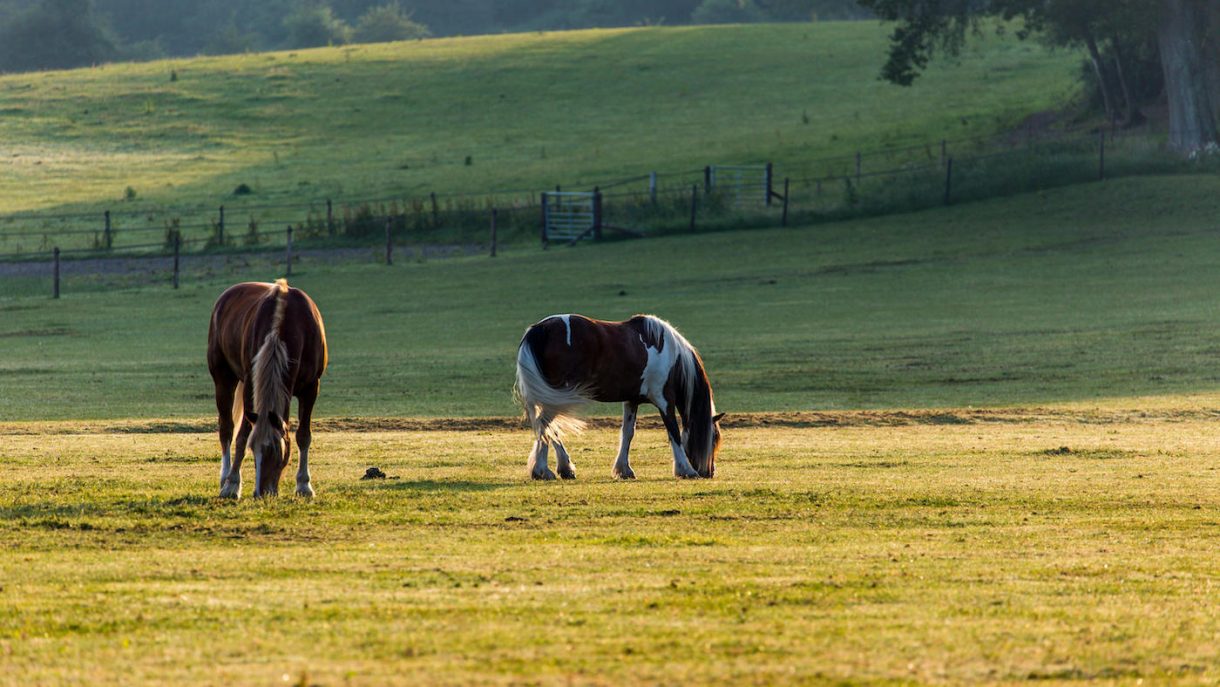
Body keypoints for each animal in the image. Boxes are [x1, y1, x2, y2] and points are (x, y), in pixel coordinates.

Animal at [207, 279, 328, 498]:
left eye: (276, 450)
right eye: (253, 450)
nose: (261, 493)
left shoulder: (311, 387)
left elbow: (303, 435)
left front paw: (304, 485)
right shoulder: (250, 385)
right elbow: (242, 436)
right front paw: (232, 485)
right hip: (223, 380)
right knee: (226, 429)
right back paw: (225, 478)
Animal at [514, 314, 723, 480]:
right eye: (714, 438)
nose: (709, 472)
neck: (672, 356)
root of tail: (540, 329)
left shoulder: (631, 401)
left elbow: (628, 433)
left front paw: (624, 470)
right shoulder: (665, 401)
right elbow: (673, 432)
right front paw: (686, 469)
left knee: (549, 428)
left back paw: (562, 469)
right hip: (557, 397)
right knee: (545, 425)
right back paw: (544, 470)